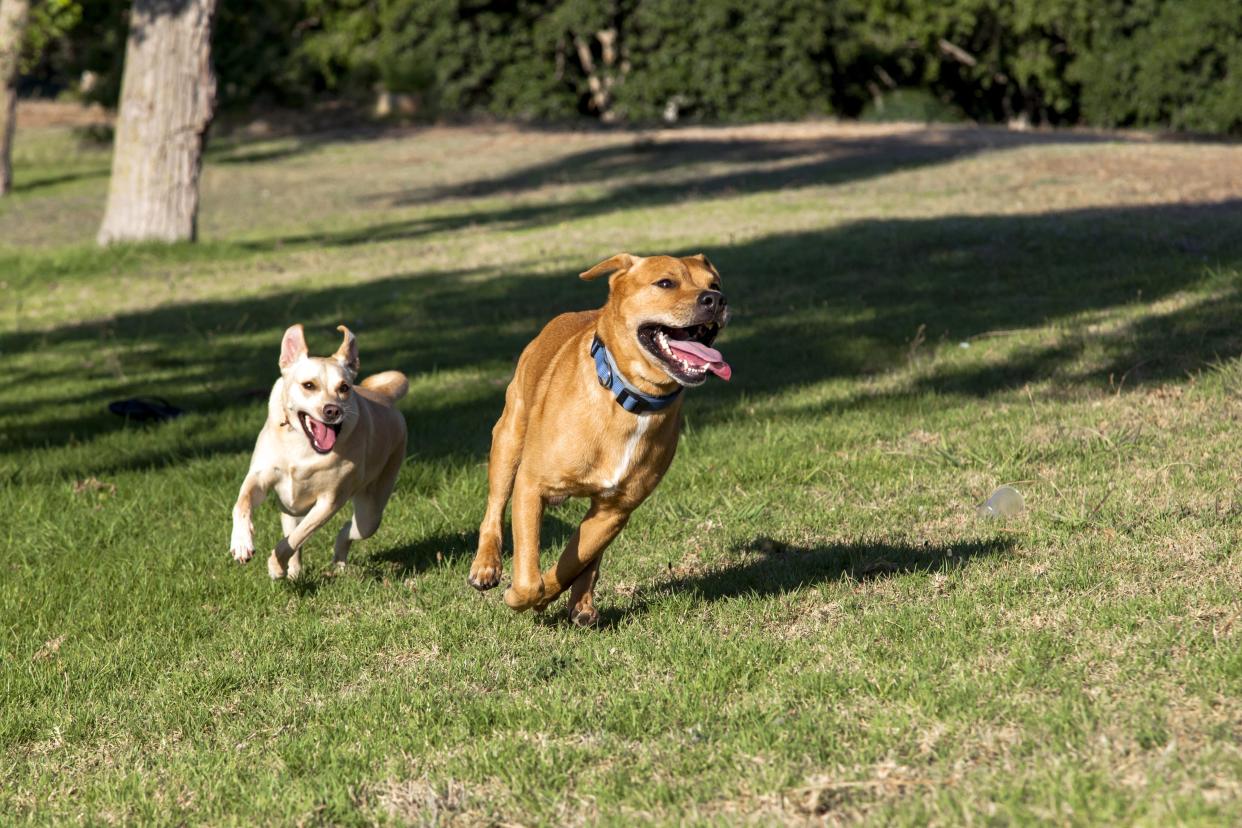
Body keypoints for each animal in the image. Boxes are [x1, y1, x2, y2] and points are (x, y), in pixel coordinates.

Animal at [228, 320, 407, 580]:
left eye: (344, 387)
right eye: (309, 385)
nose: (332, 410)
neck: (303, 445)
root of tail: (383, 394)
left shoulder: (329, 501)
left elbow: (296, 538)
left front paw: (275, 565)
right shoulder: (260, 476)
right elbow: (242, 503)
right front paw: (242, 543)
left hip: (371, 510)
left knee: (350, 529)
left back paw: (337, 558)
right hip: (289, 508)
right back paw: (295, 571)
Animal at [469, 253, 730, 620]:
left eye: (715, 284)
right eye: (665, 283)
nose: (715, 300)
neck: (631, 400)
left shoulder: (615, 510)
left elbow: (572, 561)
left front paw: (551, 594)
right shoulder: (531, 486)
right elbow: (530, 578)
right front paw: (520, 596)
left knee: (589, 558)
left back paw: (582, 602)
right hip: (508, 439)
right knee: (494, 507)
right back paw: (485, 567)